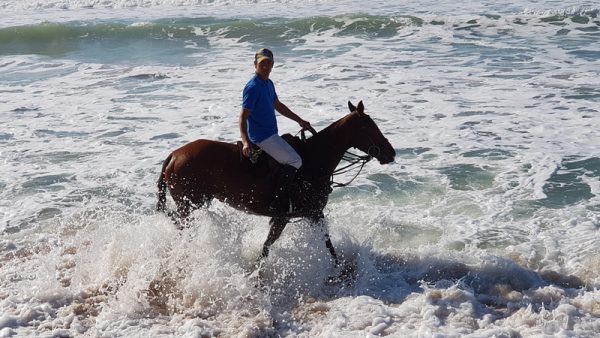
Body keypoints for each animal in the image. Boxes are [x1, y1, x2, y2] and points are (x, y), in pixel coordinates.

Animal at [157, 101, 396, 266]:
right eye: (369, 126)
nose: (391, 152)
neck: (314, 159)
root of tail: (173, 155)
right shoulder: (294, 215)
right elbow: (271, 246)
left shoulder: (310, 214)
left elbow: (325, 244)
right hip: (189, 205)